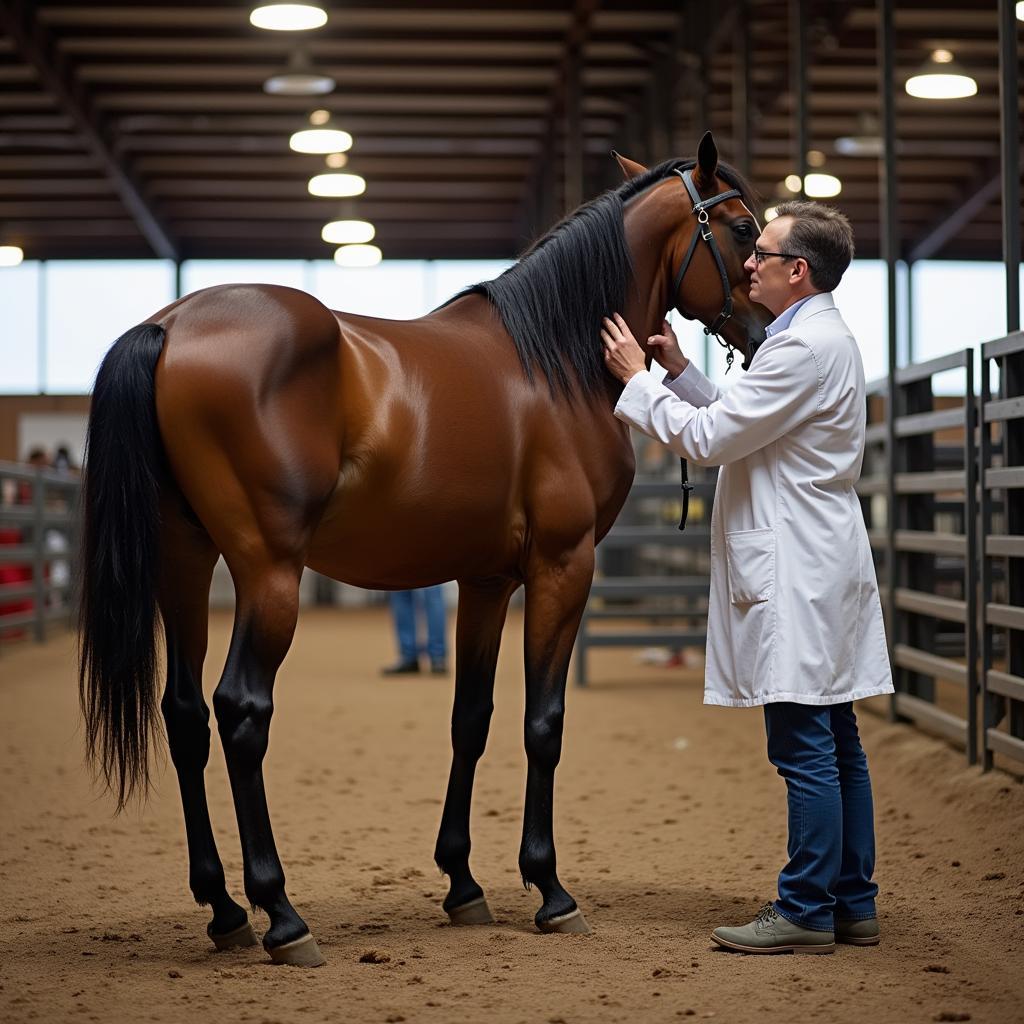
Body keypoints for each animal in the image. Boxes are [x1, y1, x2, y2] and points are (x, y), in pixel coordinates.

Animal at [79, 132, 770, 962]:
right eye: (742, 230)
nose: (767, 331)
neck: (555, 359)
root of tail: (171, 326)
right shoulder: (562, 567)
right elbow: (544, 723)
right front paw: (550, 889)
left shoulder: (485, 581)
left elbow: (470, 718)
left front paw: (464, 885)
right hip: (267, 573)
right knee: (240, 711)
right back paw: (281, 914)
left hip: (185, 563)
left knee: (183, 714)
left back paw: (223, 909)